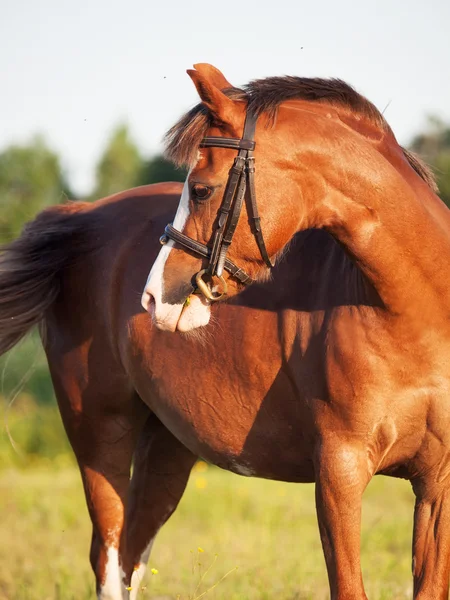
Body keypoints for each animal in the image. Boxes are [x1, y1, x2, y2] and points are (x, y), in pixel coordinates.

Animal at [0, 64, 448, 600]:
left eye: (201, 189)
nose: (154, 298)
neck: (413, 314)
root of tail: (83, 216)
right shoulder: (339, 473)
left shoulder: (438, 485)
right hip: (99, 432)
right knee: (108, 558)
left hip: (167, 445)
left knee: (132, 556)